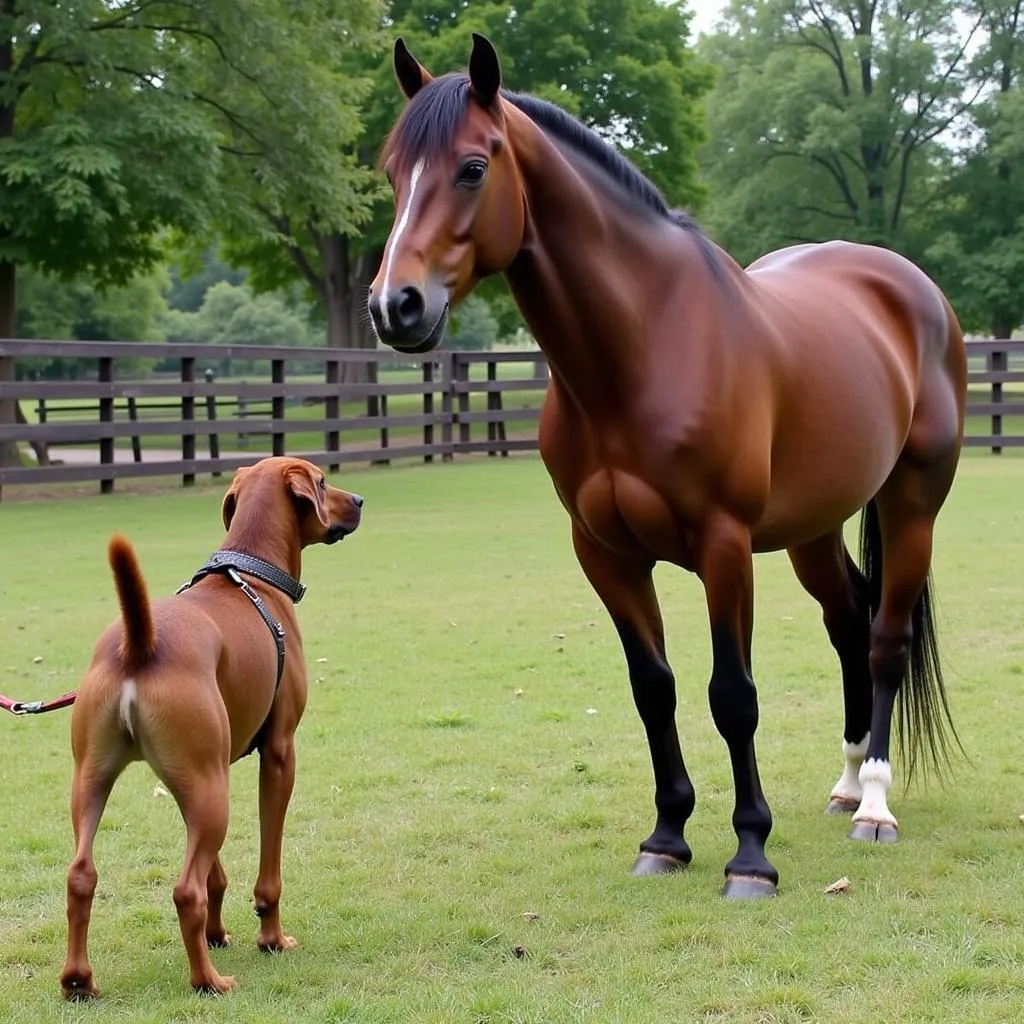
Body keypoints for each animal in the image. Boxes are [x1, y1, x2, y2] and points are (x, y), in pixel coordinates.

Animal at [59, 458, 364, 999]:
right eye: (324, 481)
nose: (360, 501)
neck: (252, 570)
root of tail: (140, 642)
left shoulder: (201, 779)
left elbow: (216, 874)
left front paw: (218, 934)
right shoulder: (279, 754)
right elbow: (267, 874)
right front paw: (271, 939)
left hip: (110, 782)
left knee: (81, 876)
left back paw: (79, 980)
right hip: (209, 791)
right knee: (185, 892)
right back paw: (209, 981)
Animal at [368, 29, 966, 897]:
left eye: (473, 167)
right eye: (390, 173)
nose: (394, 306)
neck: (644, 346)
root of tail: (913, 288)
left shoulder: (723, 546)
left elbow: (733, 696)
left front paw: (750, 855)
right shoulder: (606, 553)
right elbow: (654, 689)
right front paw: (667, 837)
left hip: (911, 503)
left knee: (886, 639)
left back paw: (876, 807)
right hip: (812, 531)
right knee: (847, 620)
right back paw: (848, 782)